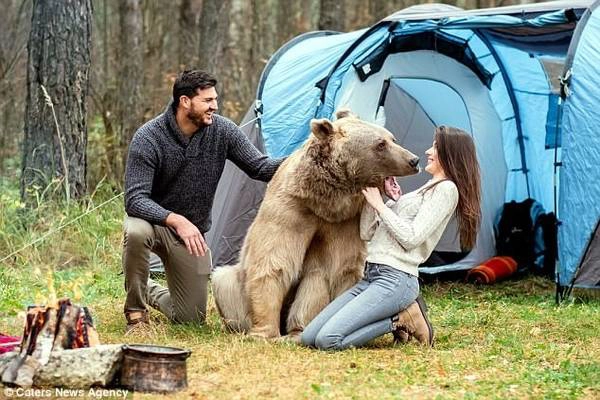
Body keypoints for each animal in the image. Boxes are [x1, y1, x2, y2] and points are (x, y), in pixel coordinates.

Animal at [213, 111, 420, 340]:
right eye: (380, 144)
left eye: (392, 138)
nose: (413, 160)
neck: (324, 201)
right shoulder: (291, 209)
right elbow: (273, 262)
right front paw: (264, 332)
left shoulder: (345, 223)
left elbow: (336, 268)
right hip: (234, 287)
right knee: (222, 279)